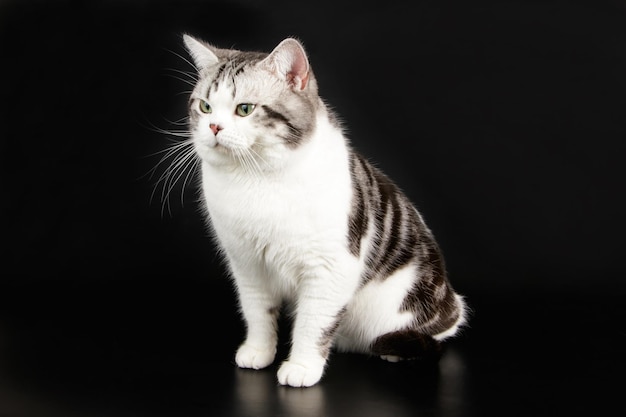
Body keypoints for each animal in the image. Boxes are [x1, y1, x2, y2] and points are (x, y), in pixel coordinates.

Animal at [178, 33, 466, 386]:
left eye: (244, 109)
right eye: (205, 107)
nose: (214, 127)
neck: (255, 178)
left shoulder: (331, 267)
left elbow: (312, 322)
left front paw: (302, 367)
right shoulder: (246, 264)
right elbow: (257, 311)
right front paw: (259, 351)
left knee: (433, 331)